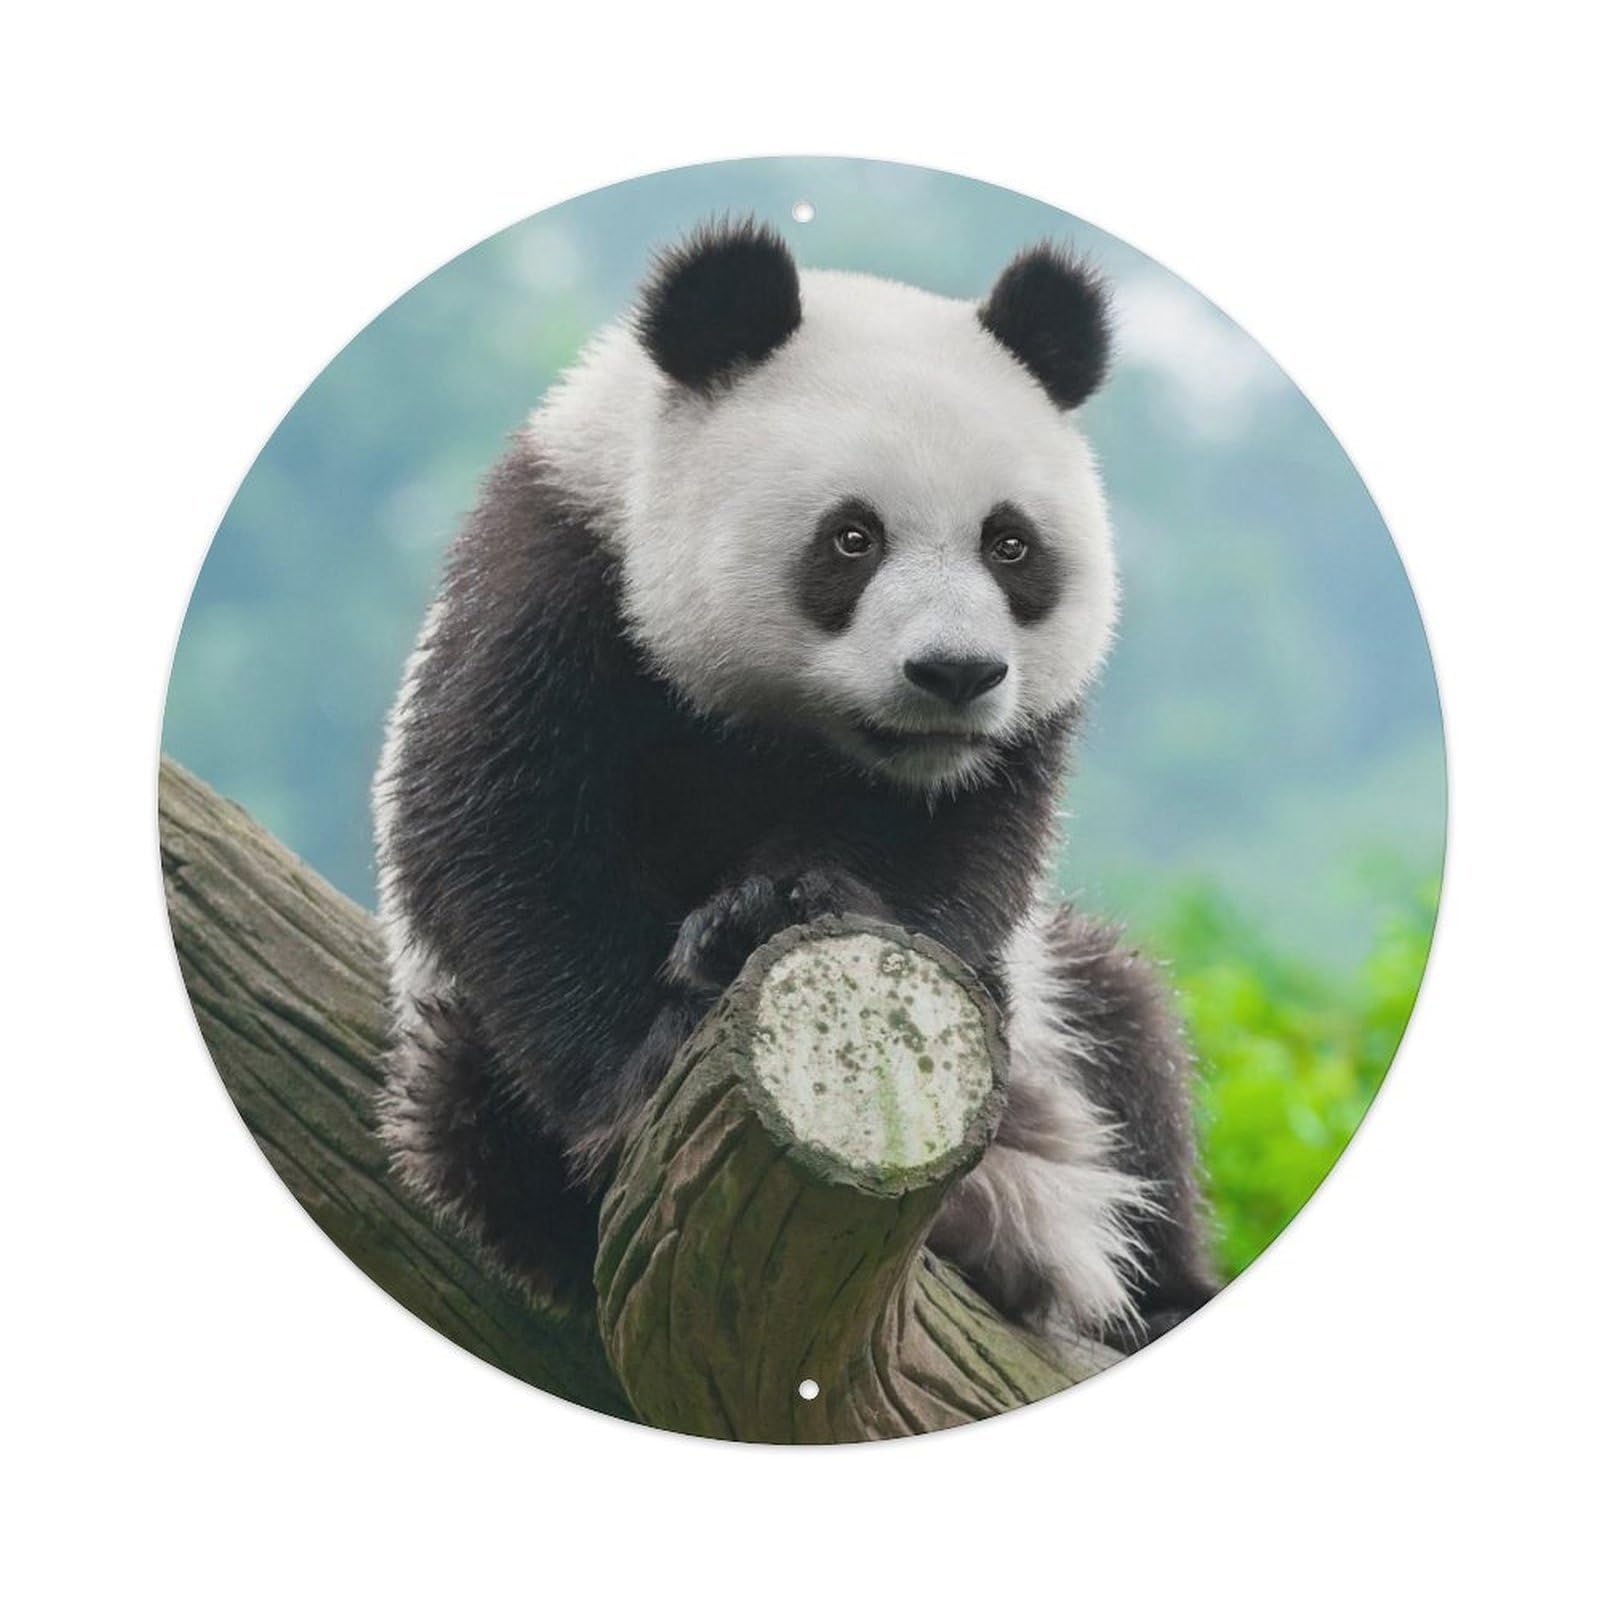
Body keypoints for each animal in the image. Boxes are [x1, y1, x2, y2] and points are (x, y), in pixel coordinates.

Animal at [373, 220, 1216, 1353]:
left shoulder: (999, 751)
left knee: (1127, 1036)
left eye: (1010, 545)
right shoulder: (558, 578)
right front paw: (653, 1052)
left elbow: (957, 850)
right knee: (469, 1109)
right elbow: (504, 840)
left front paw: (781, 903)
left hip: (1060, 1026)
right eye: (852, 538)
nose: (954, 673)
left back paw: (1156, 1294)